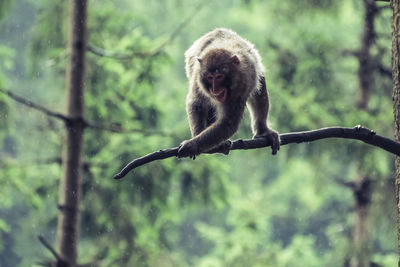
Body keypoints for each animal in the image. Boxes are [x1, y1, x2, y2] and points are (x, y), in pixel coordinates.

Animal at [177, 29, 280, 159]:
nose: (214, 89)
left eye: (219, 76)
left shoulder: (242, 84)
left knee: (259, 89)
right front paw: (197, 134)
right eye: (210, 77)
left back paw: (262, 131)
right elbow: (196, 102)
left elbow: (228, 122)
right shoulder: (198, 77)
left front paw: (192, 145)